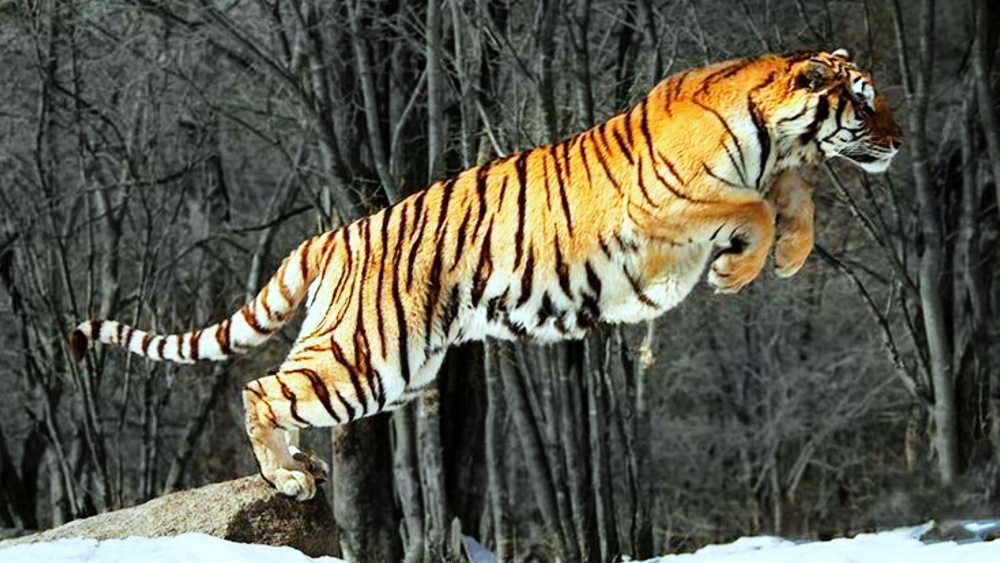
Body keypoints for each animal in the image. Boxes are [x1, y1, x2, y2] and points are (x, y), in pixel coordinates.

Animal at [66, 47, 904, 498]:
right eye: (864, 103)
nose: (899, 137)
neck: (770, 132)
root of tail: (339, 231)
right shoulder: (669, 205)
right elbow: (755, 206)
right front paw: (741, 268)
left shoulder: (765, 175)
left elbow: (792, 197)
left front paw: (788, 253)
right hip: (371, 354)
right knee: (258, 385)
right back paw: (288, 477)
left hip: (386, 363)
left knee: (278, 385)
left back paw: (298, 464)